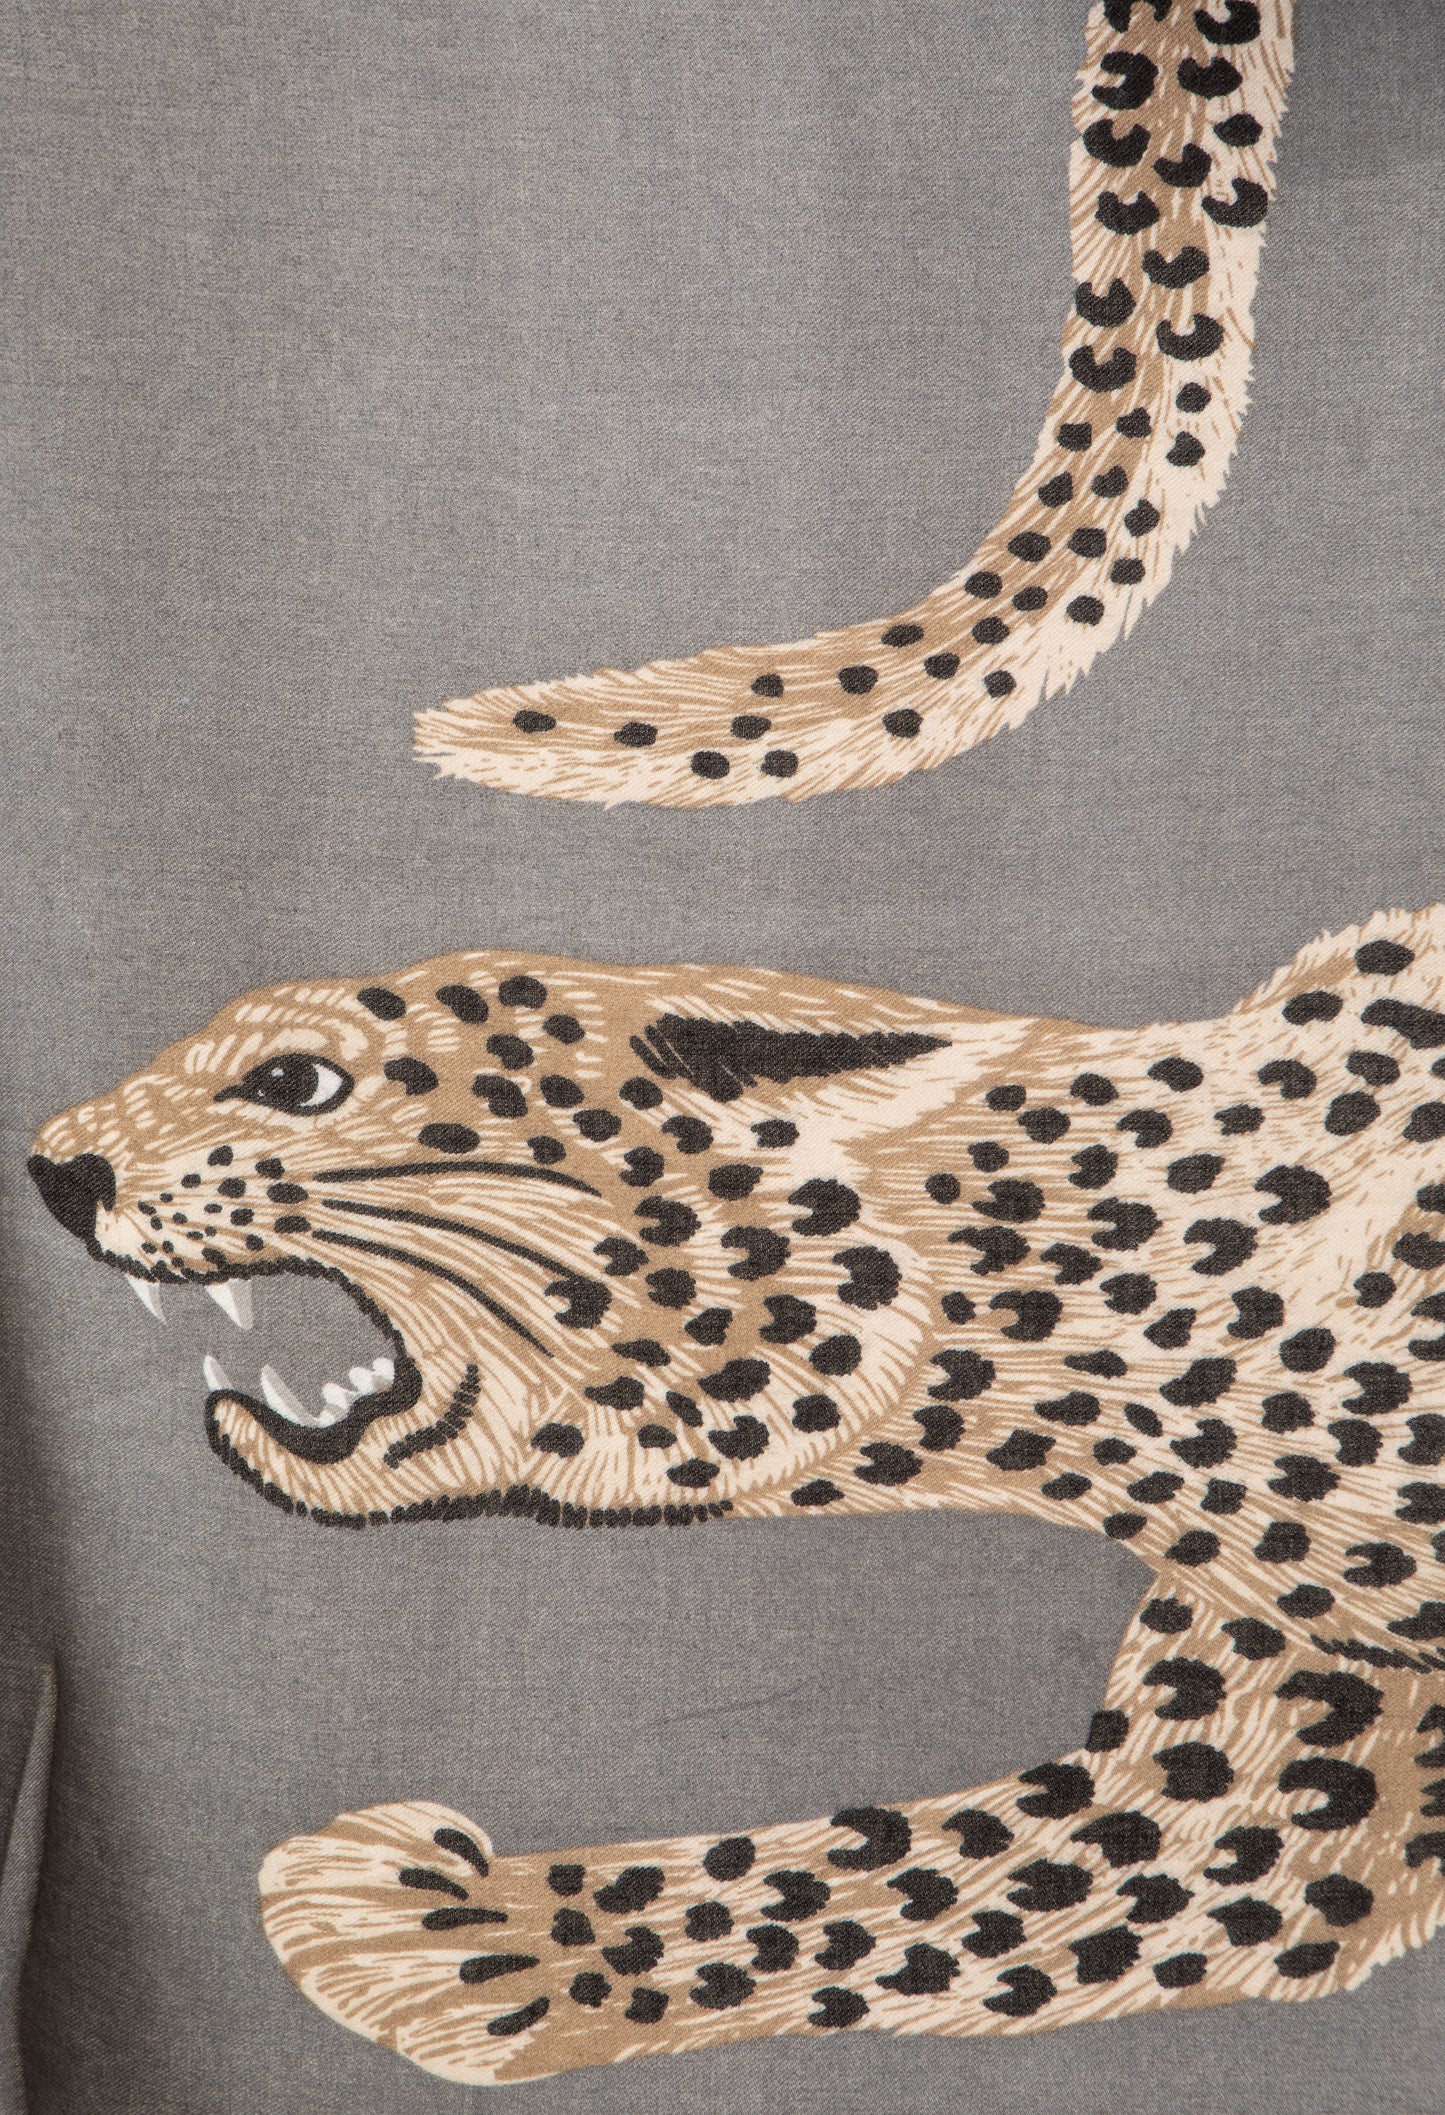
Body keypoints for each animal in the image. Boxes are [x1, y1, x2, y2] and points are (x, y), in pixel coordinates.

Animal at [27, 903, 1445, 2086]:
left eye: (293, 1080)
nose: (51, 1166)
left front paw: (440, 1929)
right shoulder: (1265, 1764)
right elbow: (935, 1883)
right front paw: (469, 1938)